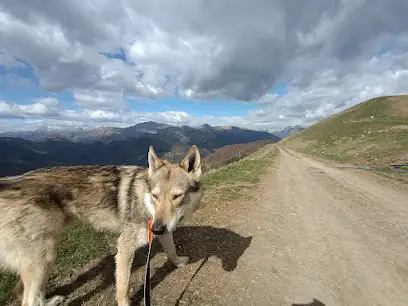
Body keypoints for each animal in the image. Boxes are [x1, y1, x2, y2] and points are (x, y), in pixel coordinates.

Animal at [0, 145, 203, 306]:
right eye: (155, 196)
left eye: (177, 196)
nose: (157, 229)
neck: (145, 199)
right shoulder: (124, 247)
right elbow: (123, 287)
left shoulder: (162, 230)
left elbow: (171, 250)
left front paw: (178, 263)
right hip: (45, 258)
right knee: (29, 300)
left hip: (44, 258)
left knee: (22, 293)